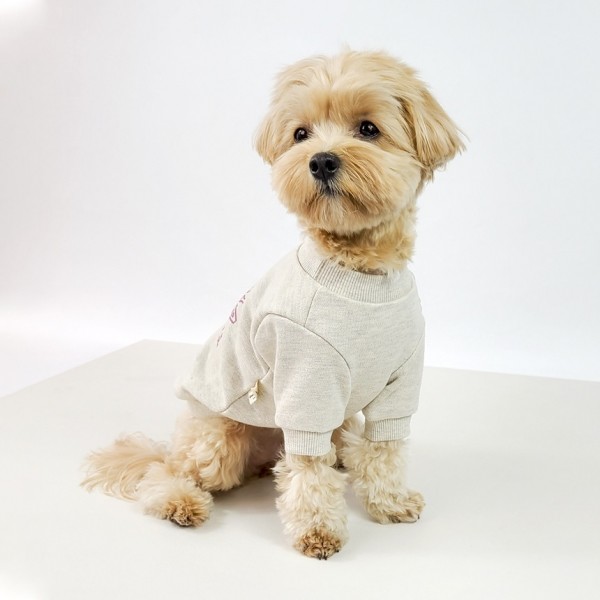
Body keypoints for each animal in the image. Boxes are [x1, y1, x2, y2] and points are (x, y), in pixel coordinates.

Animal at [82, 50, 464, 559]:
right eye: (301, 134)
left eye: (367, 128)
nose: (320, 161)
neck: (358, 272)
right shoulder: (307, 380)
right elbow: (309, 469)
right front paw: (318, 530)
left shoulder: (400, 382)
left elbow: (385, 449)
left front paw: (390, 501)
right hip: (219, 441)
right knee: (166, 469)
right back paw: (180, 501)